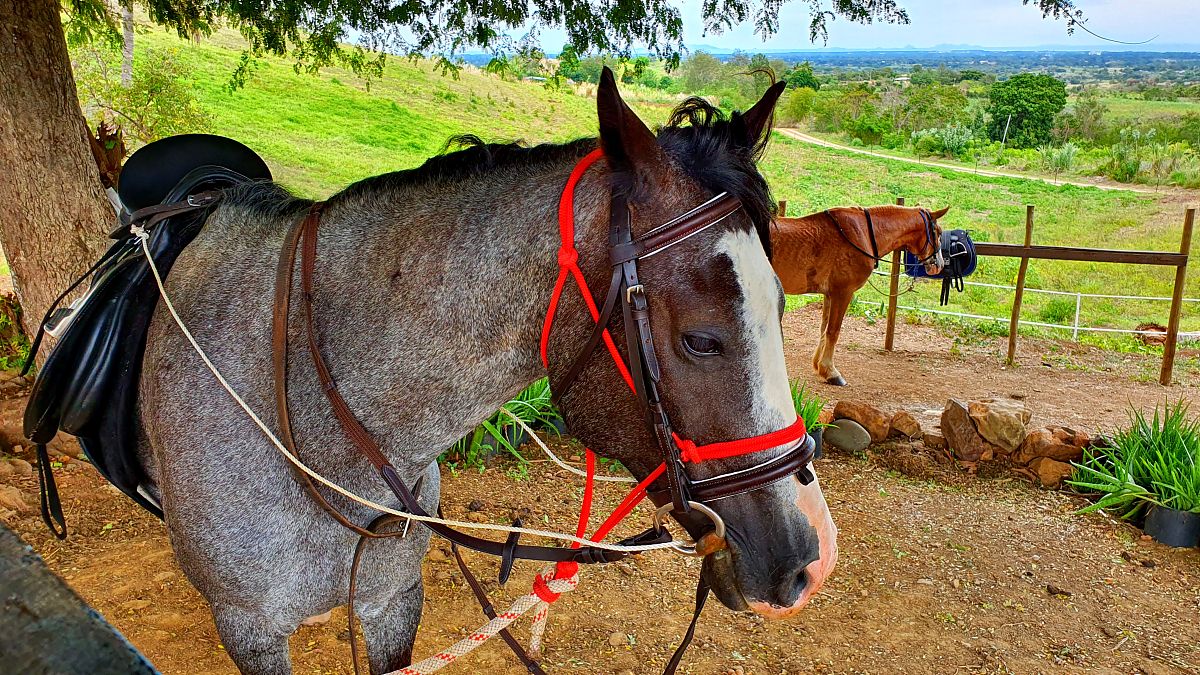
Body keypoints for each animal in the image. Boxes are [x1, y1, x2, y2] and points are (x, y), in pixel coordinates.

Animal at [770, 205, 949, 386]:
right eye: (938, 232)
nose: (939, 265)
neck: (863, 232)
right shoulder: (843, 293)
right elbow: (833, 331)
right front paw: (830, 371)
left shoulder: (829, 295)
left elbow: (823, 330)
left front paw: (818, 365)